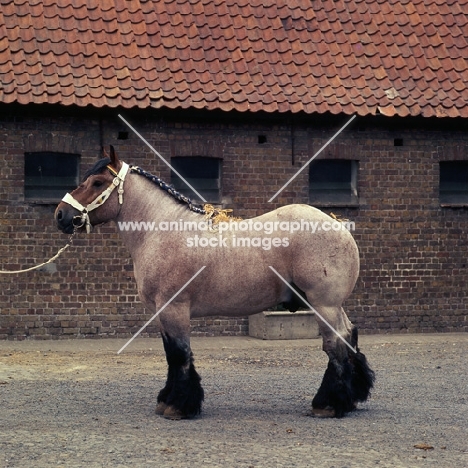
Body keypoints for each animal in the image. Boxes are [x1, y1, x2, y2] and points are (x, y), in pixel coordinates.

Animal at [55, 146, 376, 420]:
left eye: (97, 182)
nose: (61, 215)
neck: (161, 230)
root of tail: (339, 226)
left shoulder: (174, 308)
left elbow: (179, 354)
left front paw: (177, 406)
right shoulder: (162, 312)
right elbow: (171, 353)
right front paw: (167, 400)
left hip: (324, 305)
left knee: (335, 345)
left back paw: (328, 405)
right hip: (331, 305)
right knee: (349, 336)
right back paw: (351, 397)